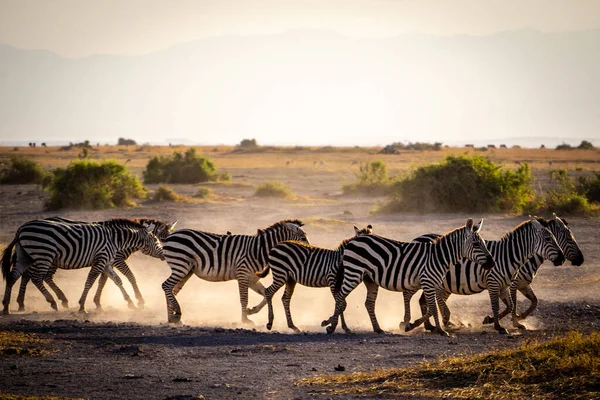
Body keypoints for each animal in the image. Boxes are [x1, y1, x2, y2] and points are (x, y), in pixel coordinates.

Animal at [1, 219, 164, 316]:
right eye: (156, 240)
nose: (164, 254)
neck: (116, 240)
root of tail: (21, 228)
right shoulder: (102, 259)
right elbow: (90, 281)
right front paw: (82, 306)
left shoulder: (106, 262)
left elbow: (116, 280)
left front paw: (130, 303)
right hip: (44, 254)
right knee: (36, 278)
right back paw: (53, 301)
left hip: (26, 256)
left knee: (13, 276)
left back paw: (6, 307)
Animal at [161, 219, 310, 324]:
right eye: (303, 238)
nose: (310, 250)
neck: (258, 250)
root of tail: (171, 235)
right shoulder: (243, 274)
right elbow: (244, 298)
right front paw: (245, 320)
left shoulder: (252, 278)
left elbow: (265, 294)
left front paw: (252, 311)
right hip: (181, 265)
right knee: (166, 286)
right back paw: (176, 313)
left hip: (186, 270)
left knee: (172, 289)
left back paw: (172, 318)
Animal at [322, 217, 494, 336]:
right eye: (477, 244)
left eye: (484, 243)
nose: (492, 263)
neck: (439, 257)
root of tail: (354, 240)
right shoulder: (428, 282)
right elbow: (433, 308)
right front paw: (440, 330)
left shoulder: (433, 284)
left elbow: (431, 308)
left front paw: (415, 325)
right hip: (354, 273)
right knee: (340, 297)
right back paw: (332, 326)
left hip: (369, 279)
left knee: (368, 303)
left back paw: (378, 329)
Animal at [410, 216, 564, 334]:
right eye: (548, 239)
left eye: (556, 238)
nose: (562, 259)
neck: (508, 256)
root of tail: (416, 238)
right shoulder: (493, 282)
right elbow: (496, 305)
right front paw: (498, 326)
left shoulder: (504, 285)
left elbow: (511, 306)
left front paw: (491, 320)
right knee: (425, 300)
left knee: (424, 301)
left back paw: (430, 325)